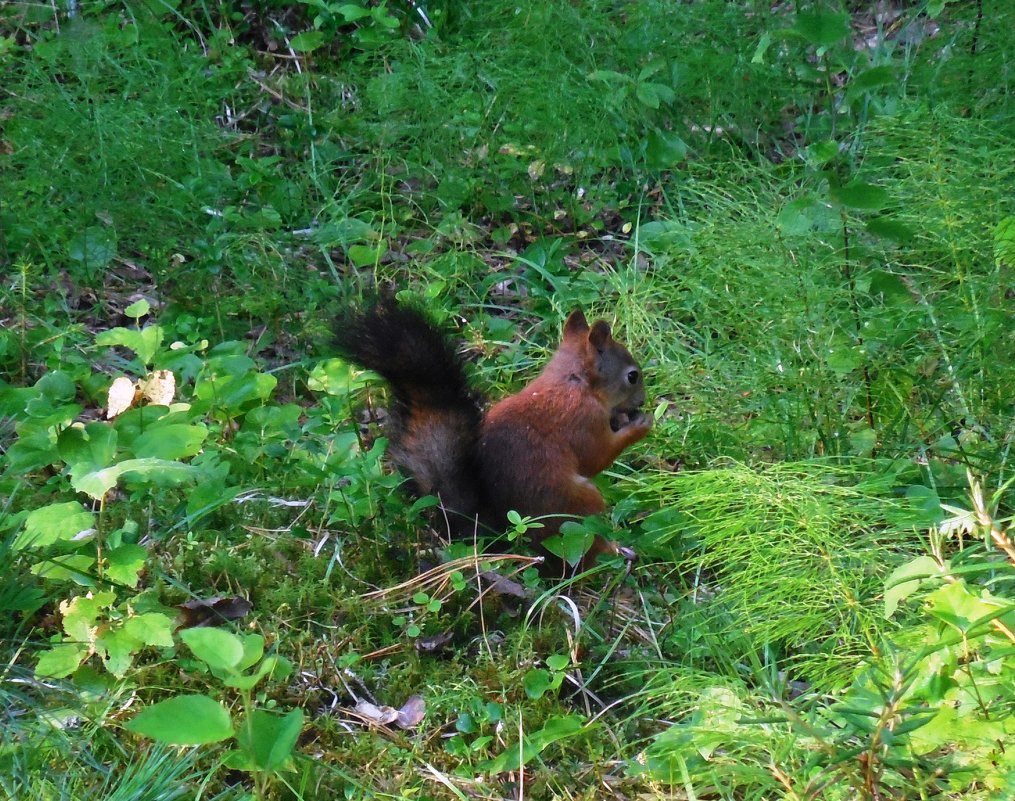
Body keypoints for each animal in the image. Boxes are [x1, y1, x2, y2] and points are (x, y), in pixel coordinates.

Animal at [332, 298, 649, 568]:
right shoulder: (583, 420)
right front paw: (639, 426)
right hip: (577, 510)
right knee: (584, 546)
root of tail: (497, 529)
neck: (573, 381)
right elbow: (595, 457)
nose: (642, 402)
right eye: (632, 376)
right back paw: (615, 551)